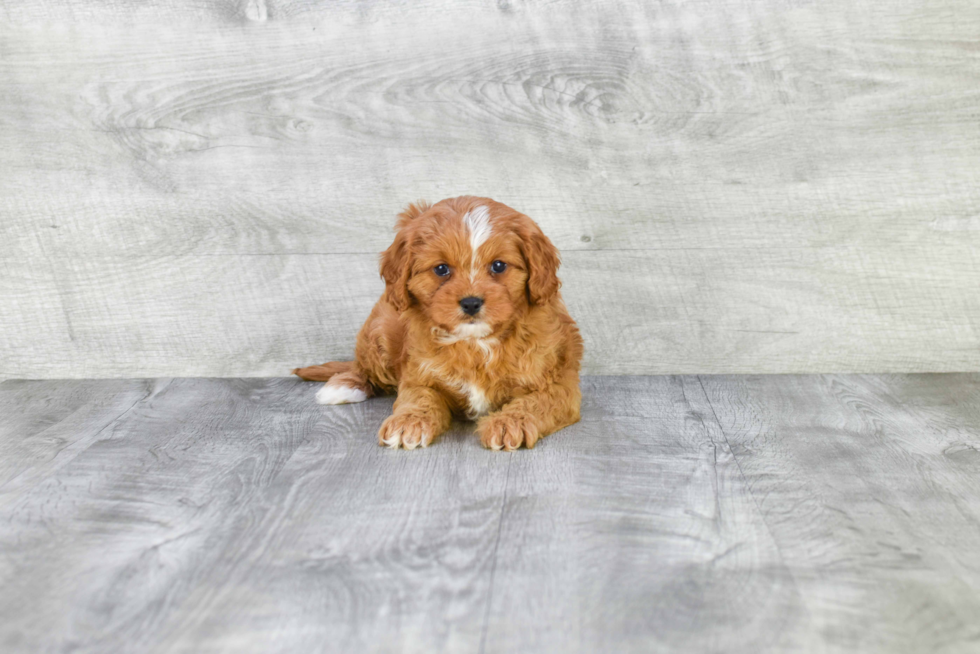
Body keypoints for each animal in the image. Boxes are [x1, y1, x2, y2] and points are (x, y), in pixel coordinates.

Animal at [290, 195, 580, 452]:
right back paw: (344, 386)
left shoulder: (558, 383)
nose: (471, 303)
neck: (476, 342)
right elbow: (420, 397)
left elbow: (537, 402)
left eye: (499, 266)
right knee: (362, 368)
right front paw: (407, 423)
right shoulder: (417, 376)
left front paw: (509, 424)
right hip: (378, 332)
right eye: (441, 269)